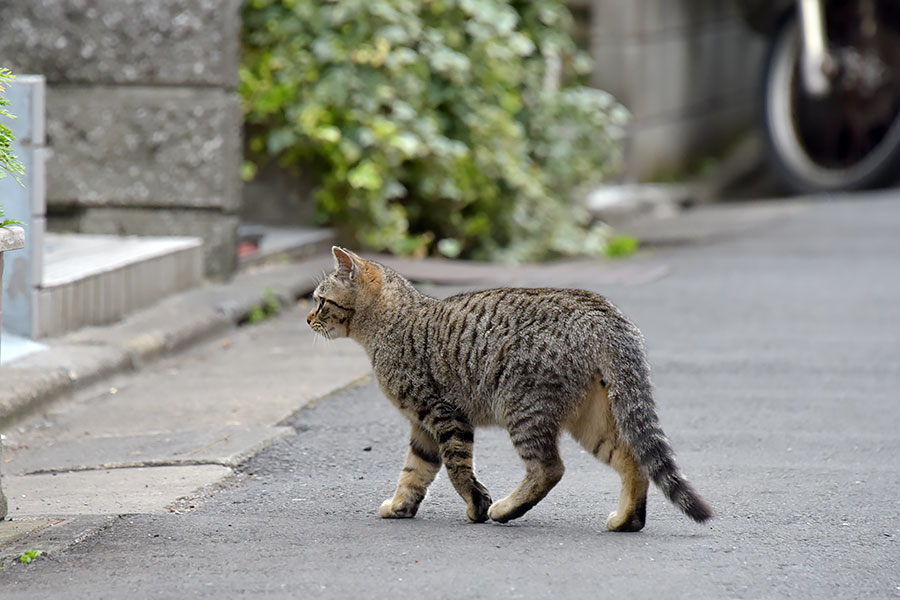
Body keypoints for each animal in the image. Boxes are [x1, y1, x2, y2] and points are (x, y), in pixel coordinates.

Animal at [310, 247, 712, 528]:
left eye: (320, 300)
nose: (308, 317)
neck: (391, 324)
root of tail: (602, 311)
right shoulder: (422, 426)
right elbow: (414, 472)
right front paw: (400, 506)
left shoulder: (444, 413)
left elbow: (456, 468)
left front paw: (477, 505)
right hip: (591, 418)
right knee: (632, 459)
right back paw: (627, 521)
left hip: (523, 408)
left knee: (550, 468)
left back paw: (505, 509)